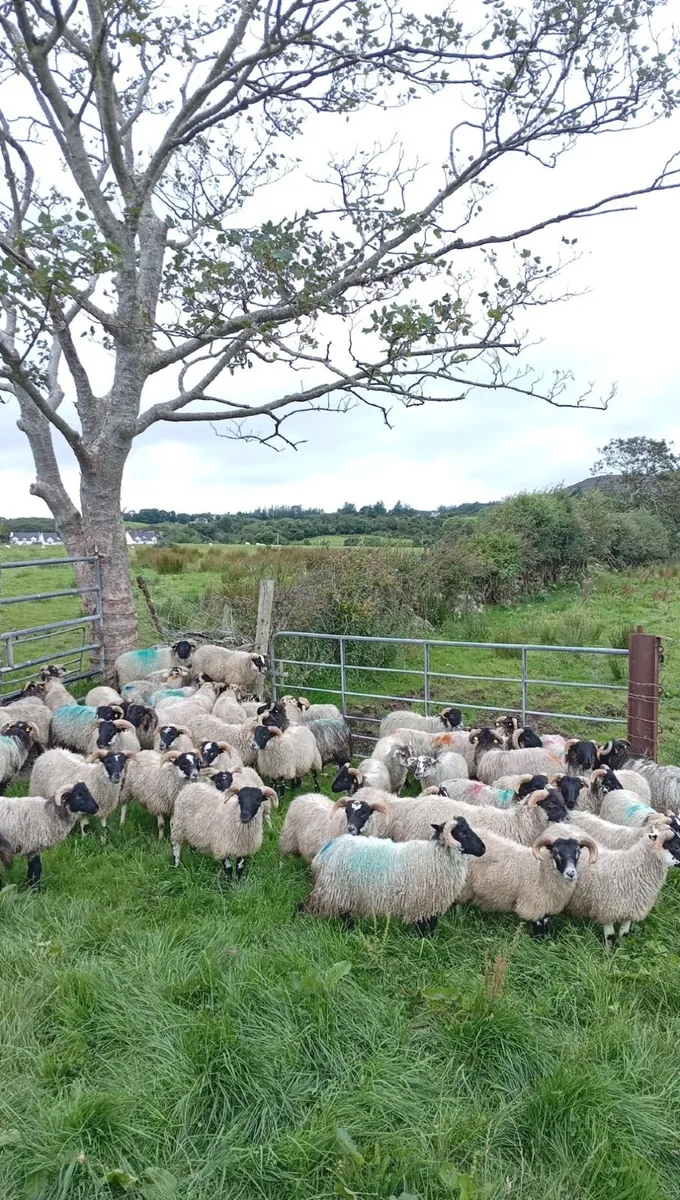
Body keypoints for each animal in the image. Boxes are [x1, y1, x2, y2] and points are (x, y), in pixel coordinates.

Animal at [302, 818, 486, 934]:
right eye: (462, 834)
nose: (483, 849)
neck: (435, 856)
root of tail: (328, 848)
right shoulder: (422, 902)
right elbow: (425, 927)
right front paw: (425, 942)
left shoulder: (430, 902)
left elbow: (432, 924)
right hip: (334, 889)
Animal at [459, 828, 597, 937]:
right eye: (556, 853)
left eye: (578, 852)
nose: (571, 873)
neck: (541, 871)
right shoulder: (533, 905)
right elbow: (538, 928)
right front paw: (539, 942)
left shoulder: (546, 904)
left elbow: (546, 924)